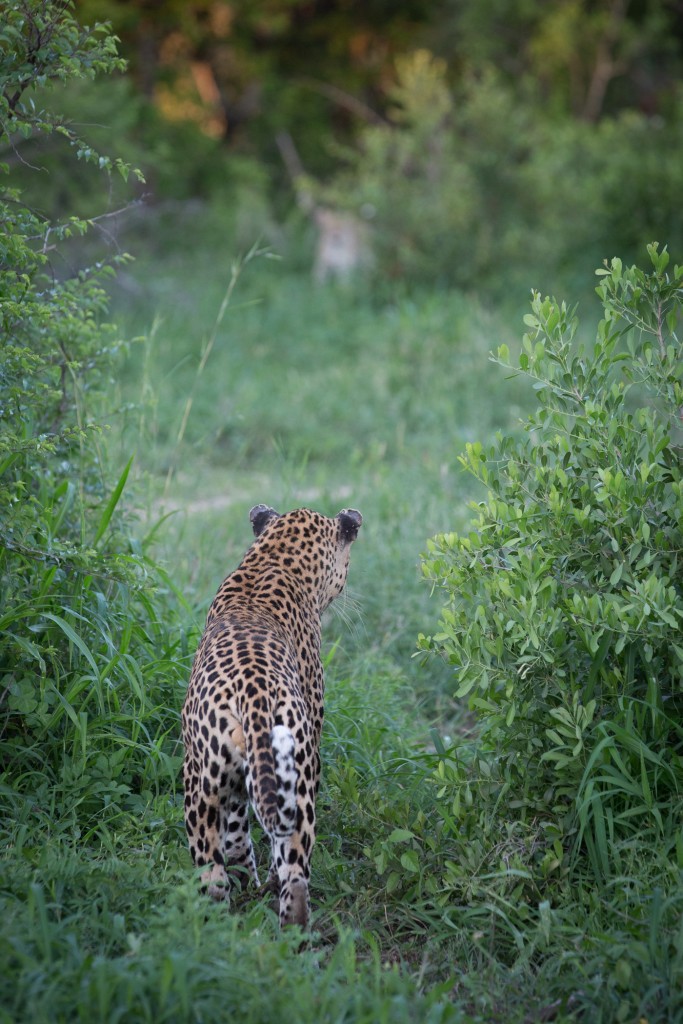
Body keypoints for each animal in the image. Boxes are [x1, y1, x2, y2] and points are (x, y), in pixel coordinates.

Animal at [181, 503, 362, 929]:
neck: (273, 559)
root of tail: (253, 690)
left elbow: (236, 830)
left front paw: (245, 878)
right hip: (296, 774)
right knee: (292, 873)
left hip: (203, 786)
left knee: (216, 875)